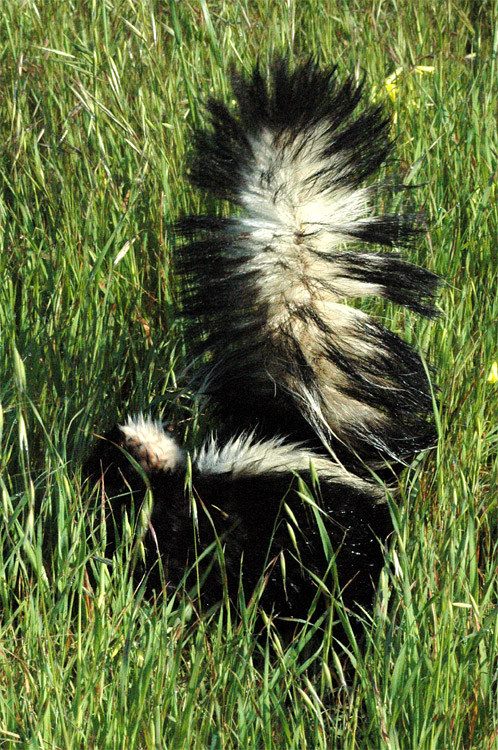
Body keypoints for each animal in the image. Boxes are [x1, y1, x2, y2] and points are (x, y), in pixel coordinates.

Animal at [85, 57, 440, 624]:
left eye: (108, 461)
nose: (83, 470)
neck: (178, 478)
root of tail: (318, 444)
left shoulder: (196, 521)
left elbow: (174, 560)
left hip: (328, 534)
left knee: (337, 577)